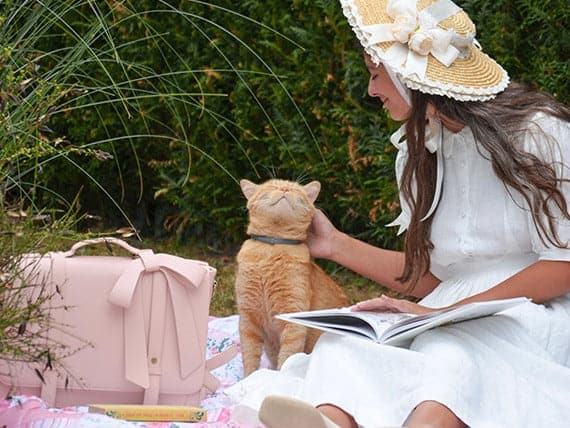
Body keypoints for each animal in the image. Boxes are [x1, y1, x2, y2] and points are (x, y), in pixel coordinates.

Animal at [235, 178, 349, 376]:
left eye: (295, 189)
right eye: (272, 186)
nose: (284, 189)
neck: (272, 249)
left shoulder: (293, 316)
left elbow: (287, 357)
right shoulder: (248, 318)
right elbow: (250, 357)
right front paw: (249, 378)